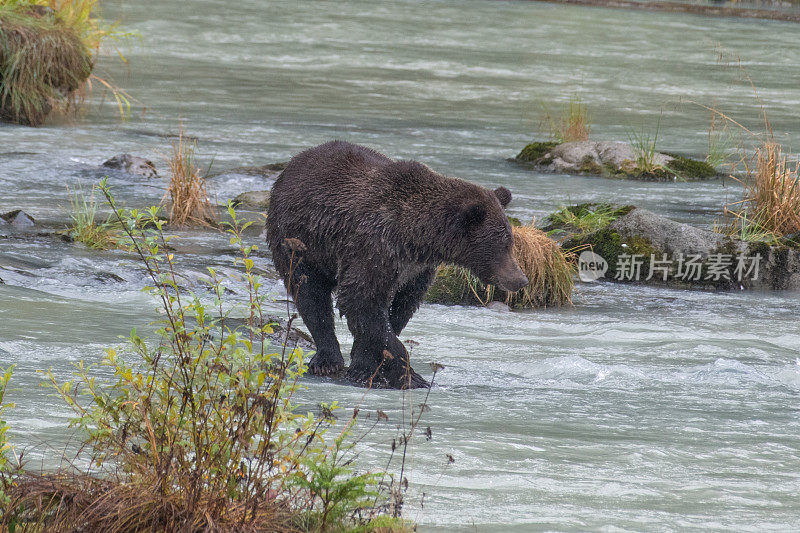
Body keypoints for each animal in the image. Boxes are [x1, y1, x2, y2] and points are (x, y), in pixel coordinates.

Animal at [268, 141, 528, 388]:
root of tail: (293, 163)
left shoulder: (415, 270)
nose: (521, 279)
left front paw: (364, 363)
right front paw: (411, 377)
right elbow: (362, 300)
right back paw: (326, 359)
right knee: (310, 294)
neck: (419, 237)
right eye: (503, 243)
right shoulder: (374, 247)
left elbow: (400, 309)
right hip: (299, 240)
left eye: (510, 240)